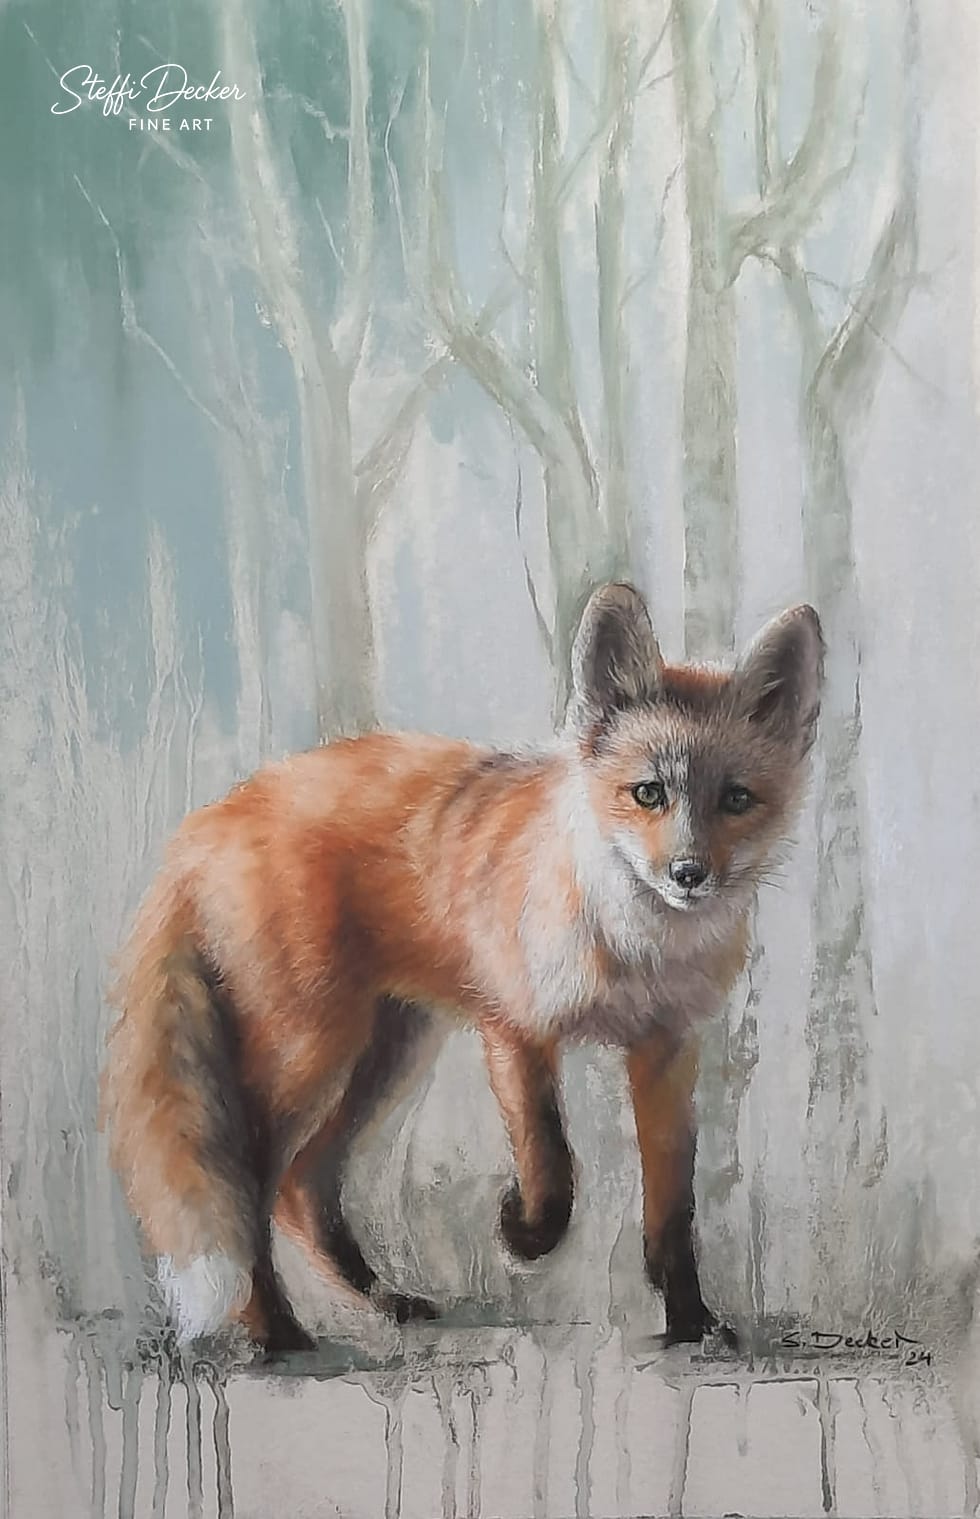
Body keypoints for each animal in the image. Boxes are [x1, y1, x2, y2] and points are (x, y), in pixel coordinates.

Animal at [100, 584, 823, 1353]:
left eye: (736, 799)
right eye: (648, 793)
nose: (688, 874)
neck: (633, 951)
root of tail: (207, 821)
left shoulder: (664, 1049)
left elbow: (672, 1212)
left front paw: (691, 1324)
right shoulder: (513, 1027)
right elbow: (551, 1162)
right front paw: (525, 1233)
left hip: (386, 1053)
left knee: (301, 1185)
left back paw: (382, 1301)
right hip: (311, 1051)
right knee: (247, 1185)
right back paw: (275, 1334)